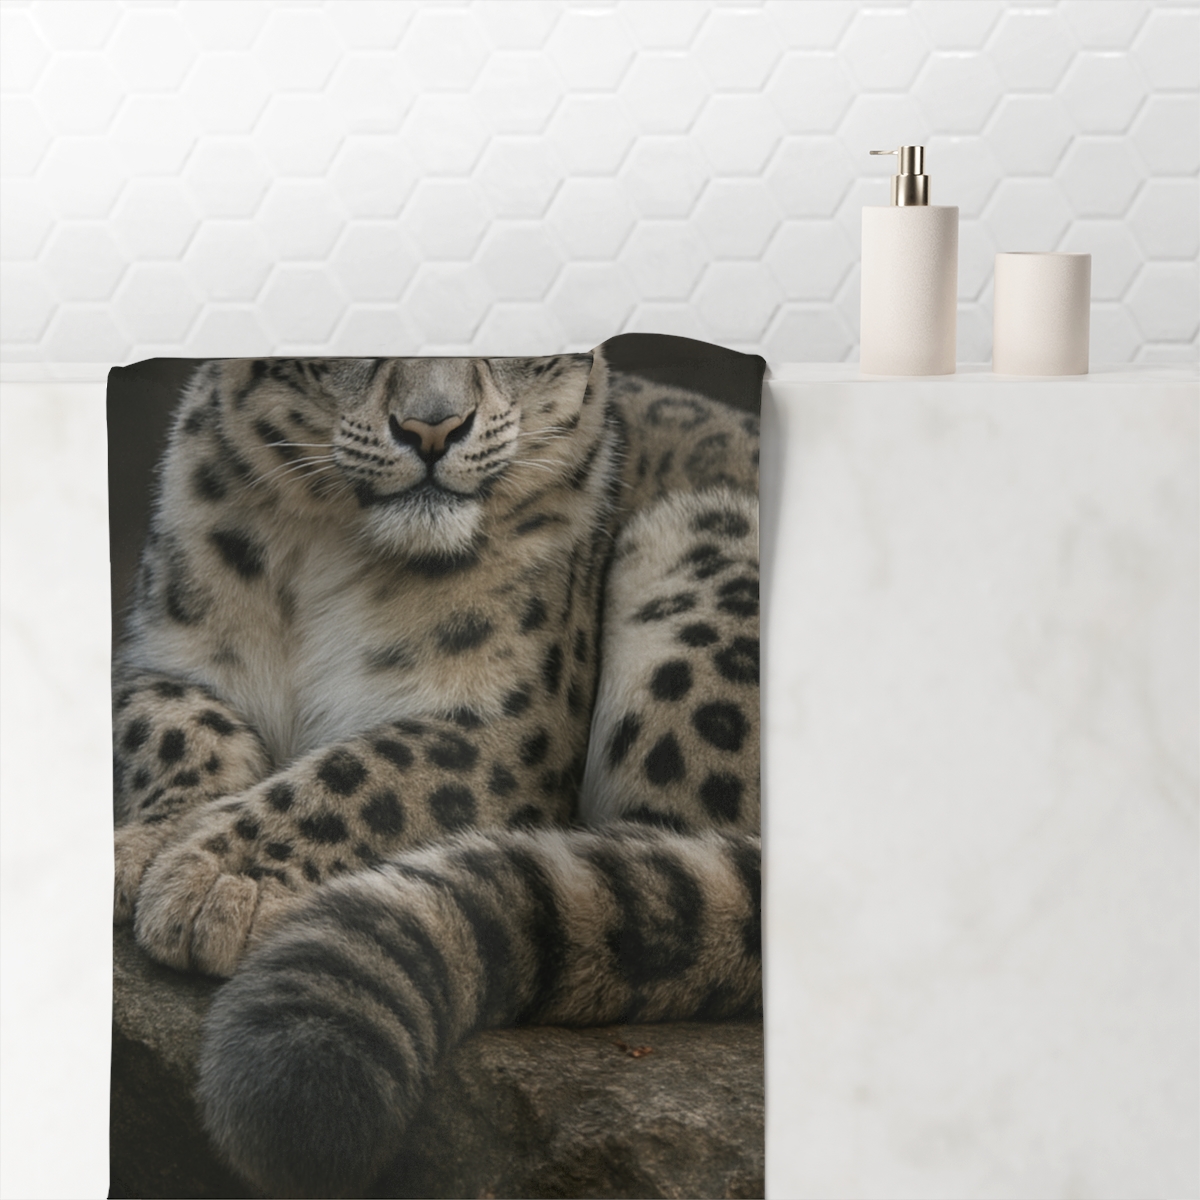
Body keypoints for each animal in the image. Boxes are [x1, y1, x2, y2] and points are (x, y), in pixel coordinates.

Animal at [110, 351, 762, 1198]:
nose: (432, 428)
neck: (325, 560)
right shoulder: (160, 657)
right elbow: (170, 724)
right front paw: (146, 845)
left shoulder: (513, 725)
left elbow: (371, 768)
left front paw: (218, 879)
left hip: (700, 554)